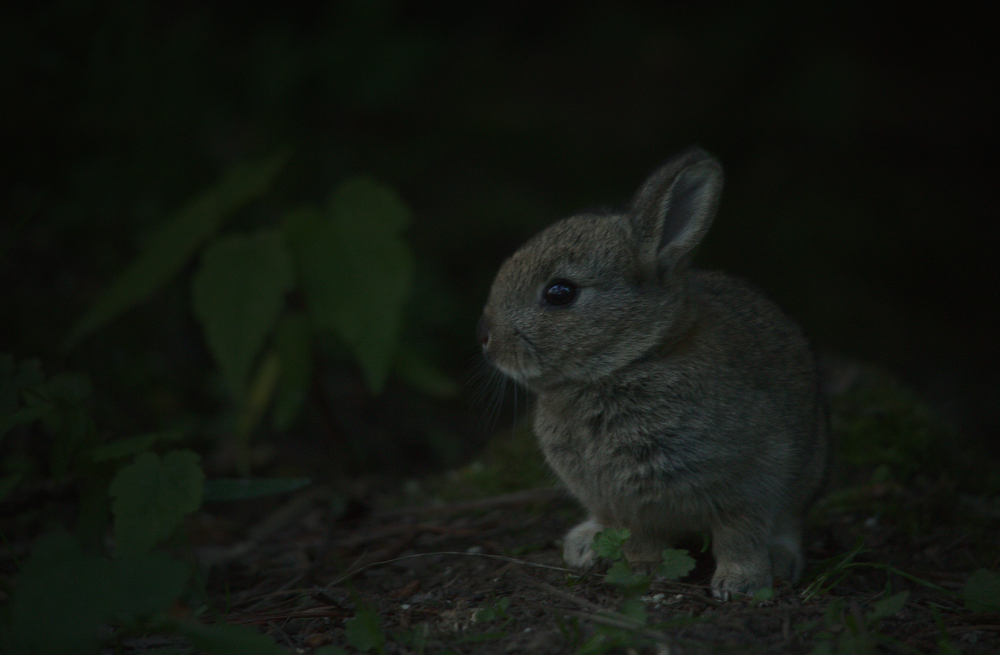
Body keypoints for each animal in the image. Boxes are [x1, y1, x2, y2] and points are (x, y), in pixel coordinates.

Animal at [476, 149, 828, 600]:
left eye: (560, 293)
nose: (485, 337)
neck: (633, 360)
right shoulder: (624, 502)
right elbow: (640, 536)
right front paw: (644, 570)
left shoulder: (748, 478)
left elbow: (740, 535)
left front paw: (740, 583)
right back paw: (584, 544)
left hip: (809, 467)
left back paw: (781, 561)